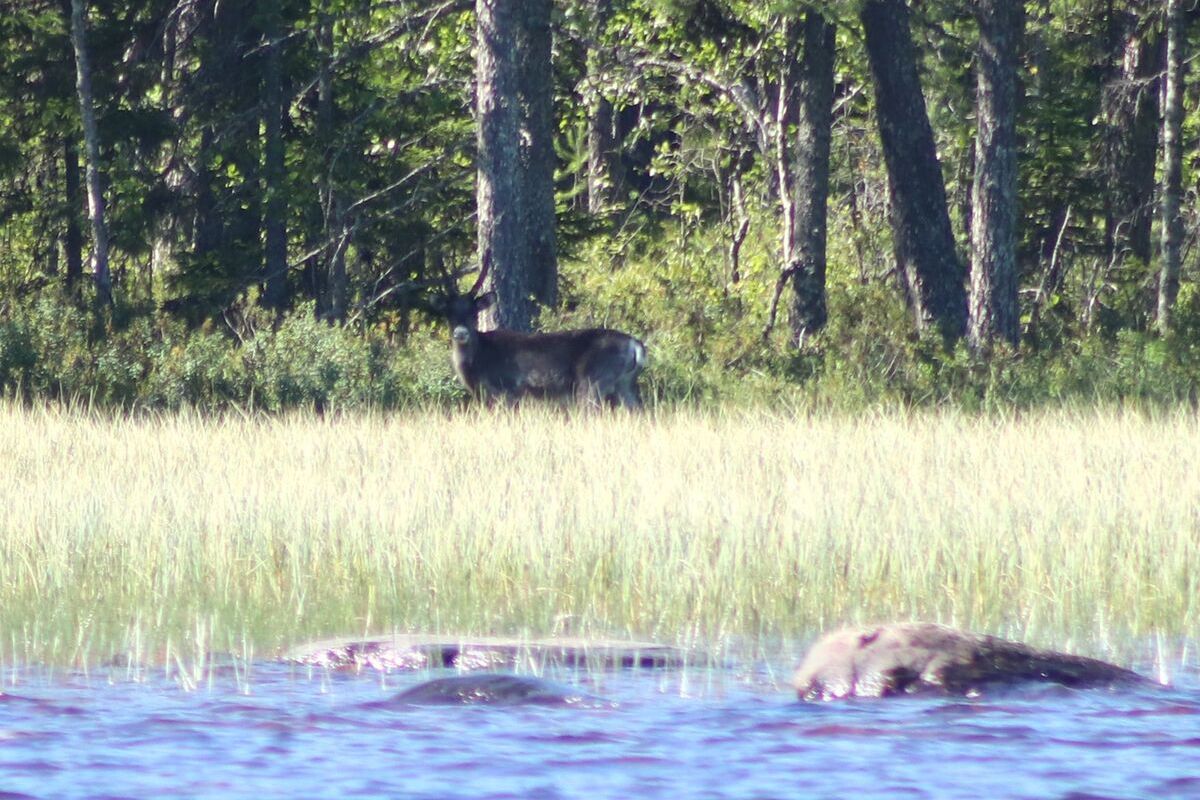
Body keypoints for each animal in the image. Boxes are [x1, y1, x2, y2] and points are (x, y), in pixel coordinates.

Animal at [427, 253, 643, 410]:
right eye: (448, 313)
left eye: (474, 312)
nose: (460, 333)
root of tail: (635, 345)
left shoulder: (506, 391)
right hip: (624, 384)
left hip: (592, 382)